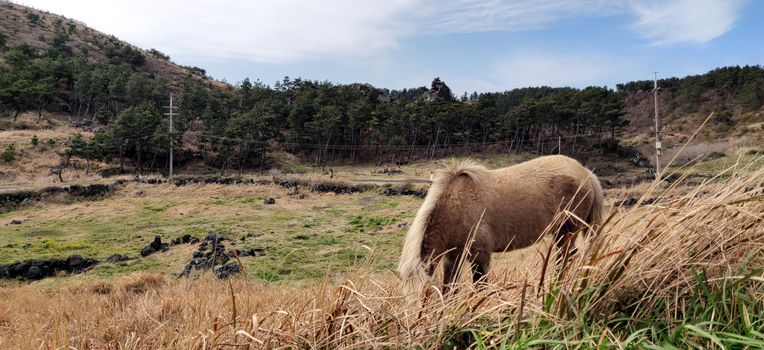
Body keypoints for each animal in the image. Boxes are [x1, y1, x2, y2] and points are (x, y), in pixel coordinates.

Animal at [400, 155, 604, 290]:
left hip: (567, 230)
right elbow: (449, 288)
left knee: (565, 257)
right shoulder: (453, 257)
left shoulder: (479, 255)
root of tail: (585, 172)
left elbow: (480, 286)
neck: (455, 205)